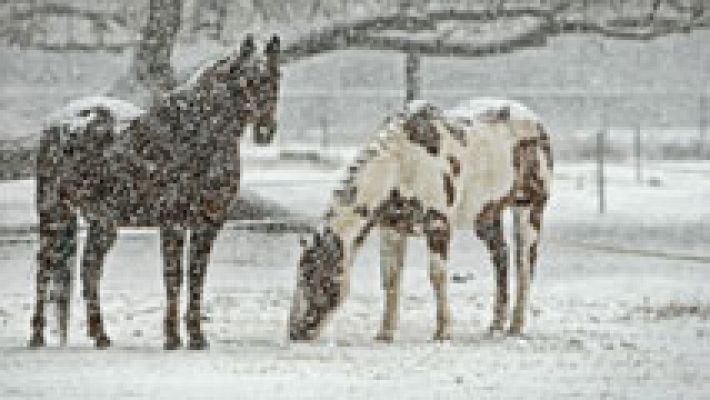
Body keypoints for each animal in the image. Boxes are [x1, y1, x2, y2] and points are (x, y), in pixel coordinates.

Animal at [30, 35, 282, 350]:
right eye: (247, 80)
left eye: (275, 77)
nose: (265, 131)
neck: (198, 136)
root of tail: (57, 125)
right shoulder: (172, 222)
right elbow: (174, 277)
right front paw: (172, 337)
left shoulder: (208, 224)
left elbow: (196, 277)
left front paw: (196, 336)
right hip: (53, 213)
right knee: (44, 266)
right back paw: (37, 335)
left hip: (102, 223)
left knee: (89, 270)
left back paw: (100, 335)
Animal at [290, 99, 556, 340]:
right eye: (301, 276)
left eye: (317, 277)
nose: (295, 332)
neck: (402, 165)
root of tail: (536, 121)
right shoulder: (392, 228)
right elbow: (390, 278)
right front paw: (385, 333)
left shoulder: (438, 226)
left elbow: (437, 276)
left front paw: (443, 331)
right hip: (486, 217)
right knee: (501, 258)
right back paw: (495, 326)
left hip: (529, 208)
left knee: (525, 265)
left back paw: (516, 327)